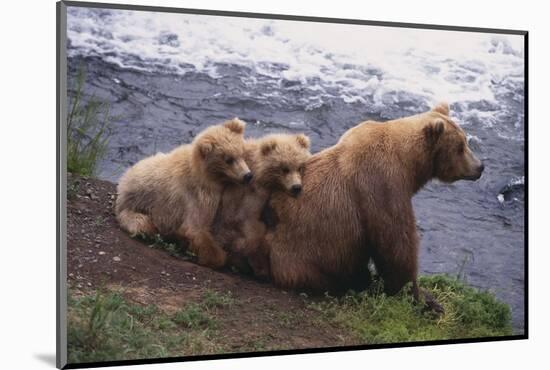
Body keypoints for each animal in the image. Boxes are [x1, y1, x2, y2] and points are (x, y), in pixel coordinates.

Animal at [266, 102, 486, 310]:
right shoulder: (381, 185)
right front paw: (424, 300)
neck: (408, 164)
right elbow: (396, 245)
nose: (480, 167)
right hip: (301, 255)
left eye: (466, 141)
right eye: (460, 147)